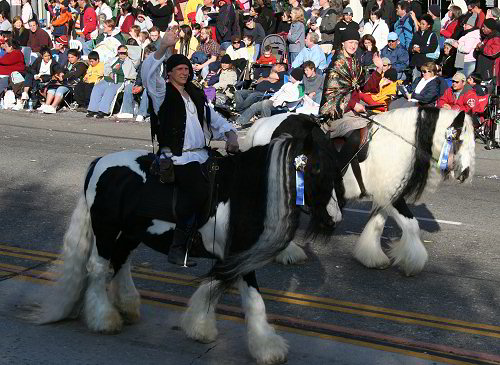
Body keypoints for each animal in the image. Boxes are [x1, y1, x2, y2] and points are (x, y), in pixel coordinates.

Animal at [38, 132, 344, 362]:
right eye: (315, 168)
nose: (334, 218)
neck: (241, 191)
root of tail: (98, 162)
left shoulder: (233, 257)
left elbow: (217, 285)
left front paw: (199, 327)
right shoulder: (239, 256)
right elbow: (253, 299)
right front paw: (267, 347)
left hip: (132, 232)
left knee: (120, 260)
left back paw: (127, 307)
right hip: (105, 229)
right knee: (99, 267)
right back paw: (104, 318)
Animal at [246, 106, 476, 274]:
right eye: (459, 139)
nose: (465, 173)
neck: (395, 143)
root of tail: (261, 125)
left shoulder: (386, 195)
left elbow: (377, 224)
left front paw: (372, 256)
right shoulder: (392, 197)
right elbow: (412, 226)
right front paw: (413, 262)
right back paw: (287, 252)